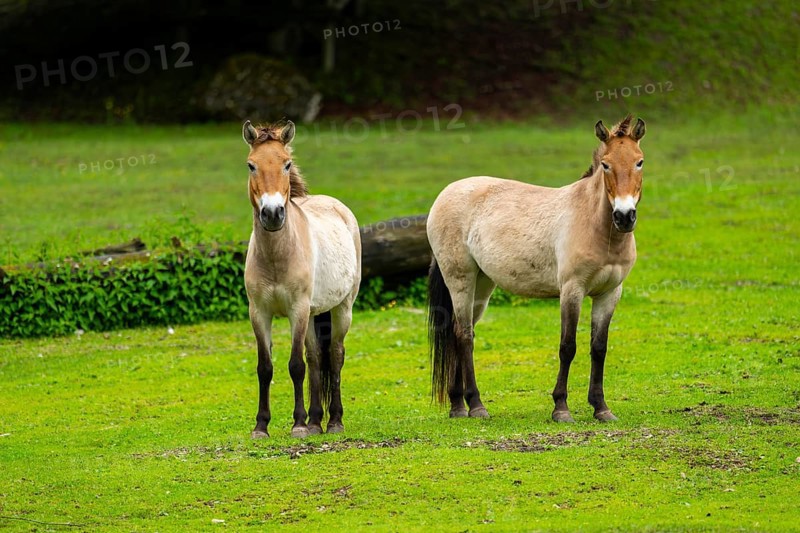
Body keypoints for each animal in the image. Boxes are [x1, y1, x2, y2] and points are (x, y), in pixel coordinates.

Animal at [242, 120, 361, 438]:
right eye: (251, 165)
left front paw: (297, 424)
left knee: (335, 355)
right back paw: (316, 421)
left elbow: (295, 365)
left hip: (341, 308)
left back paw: (334, 421)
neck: (277, 256)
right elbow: (265, 367)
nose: (272, 214)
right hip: (312, 314)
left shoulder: (297, 309)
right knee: (316, 358)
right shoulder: (259, 313)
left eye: (286, 164)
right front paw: (261, 426)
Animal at [426, 115, 646, 423]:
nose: (624, 217)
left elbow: (598, 348)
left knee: (457, 331)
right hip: (460, 279)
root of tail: (446, 194)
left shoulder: (610, 293)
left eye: (639, 161)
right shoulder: (572, 290)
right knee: (464, 336)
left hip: (482, 285)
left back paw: (458, 406)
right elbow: (568, 347)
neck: (595, 224)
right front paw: (561, 408)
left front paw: (601, 408)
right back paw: (477, 405)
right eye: (605, 164)